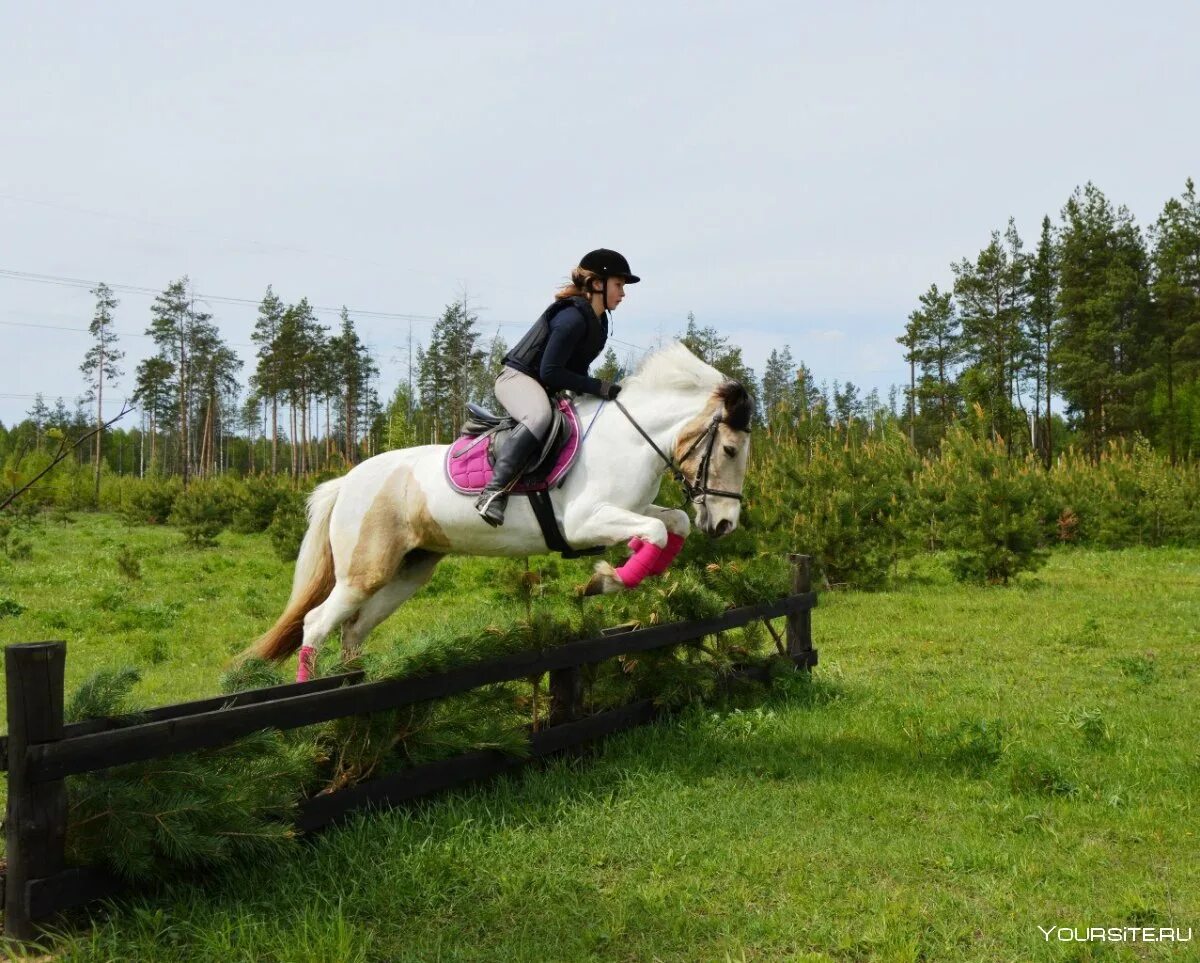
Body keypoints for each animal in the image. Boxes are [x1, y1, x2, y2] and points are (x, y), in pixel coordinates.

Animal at [237, 343, 748, 677]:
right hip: (364, 572)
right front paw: (603, 581)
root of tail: (346, 482)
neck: (628, 439)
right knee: (317, 624)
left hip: (408, 571)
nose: (725, 524)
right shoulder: (583, 522)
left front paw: (623, 574)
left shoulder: (631, 510)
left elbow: (672, 525)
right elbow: (655, 535)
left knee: (354, 630)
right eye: (729, 450)